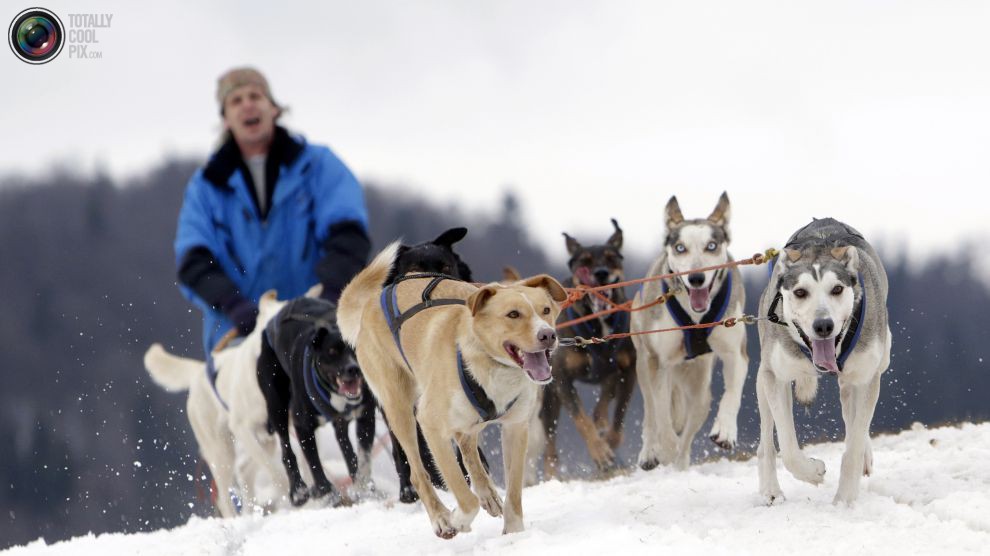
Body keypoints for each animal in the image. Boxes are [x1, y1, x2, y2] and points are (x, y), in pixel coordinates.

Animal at [260, 298, 376, 506]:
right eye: (332, 351)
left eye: (354, 348)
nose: (353, 369)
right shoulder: (302, 426)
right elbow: (314, 462)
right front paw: (326, 492)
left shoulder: (365, 416)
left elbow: (363, 456)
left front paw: (363, 488)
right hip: (276, 407)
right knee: (286, 450)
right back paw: (298, 490)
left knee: (346, 447)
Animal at [340, 244, 568, 540]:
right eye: (513, 314)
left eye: (546, 309)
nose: (548, 335)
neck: (487, 363)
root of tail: (373, 301)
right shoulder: (431, 425)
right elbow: (463, 494)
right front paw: (456, 520)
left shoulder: (516, 427)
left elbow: (514, 492)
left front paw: (515, 532)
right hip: (400, 409)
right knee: (418, 473)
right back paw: (441, 517)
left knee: (468, 447)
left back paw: (487, 493)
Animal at [544, 219, 636, 476]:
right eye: (584, 261)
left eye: (612, 258)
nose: (601, 273)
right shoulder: (562, 379)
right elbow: (582, 420)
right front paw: (600, 453)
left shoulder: (627, 371)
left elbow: (619, 414)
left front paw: (609, 441)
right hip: (548, 399)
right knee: (550, 445)